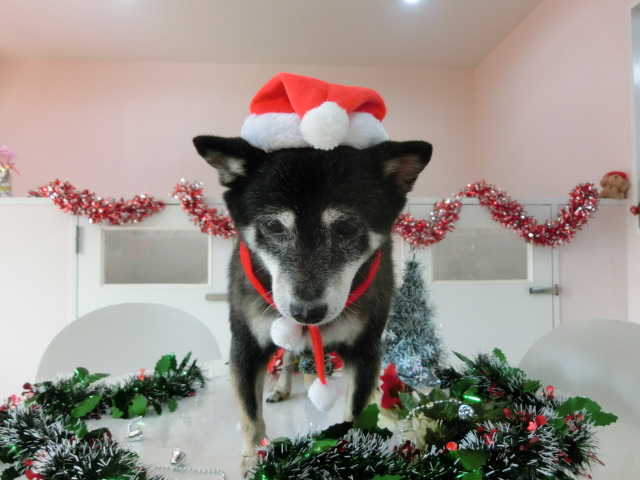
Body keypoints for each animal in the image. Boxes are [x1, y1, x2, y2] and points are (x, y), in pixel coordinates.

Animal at [193, 135, 432, 474]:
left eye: (345, 227)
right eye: (275, 227)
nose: (306, 313)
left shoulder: (365, 348)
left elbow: (354, 415)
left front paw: (354, 454)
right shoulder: (246, 345)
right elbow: (251, 415)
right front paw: (254, 458)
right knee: (287, 355)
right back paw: (281, 387)